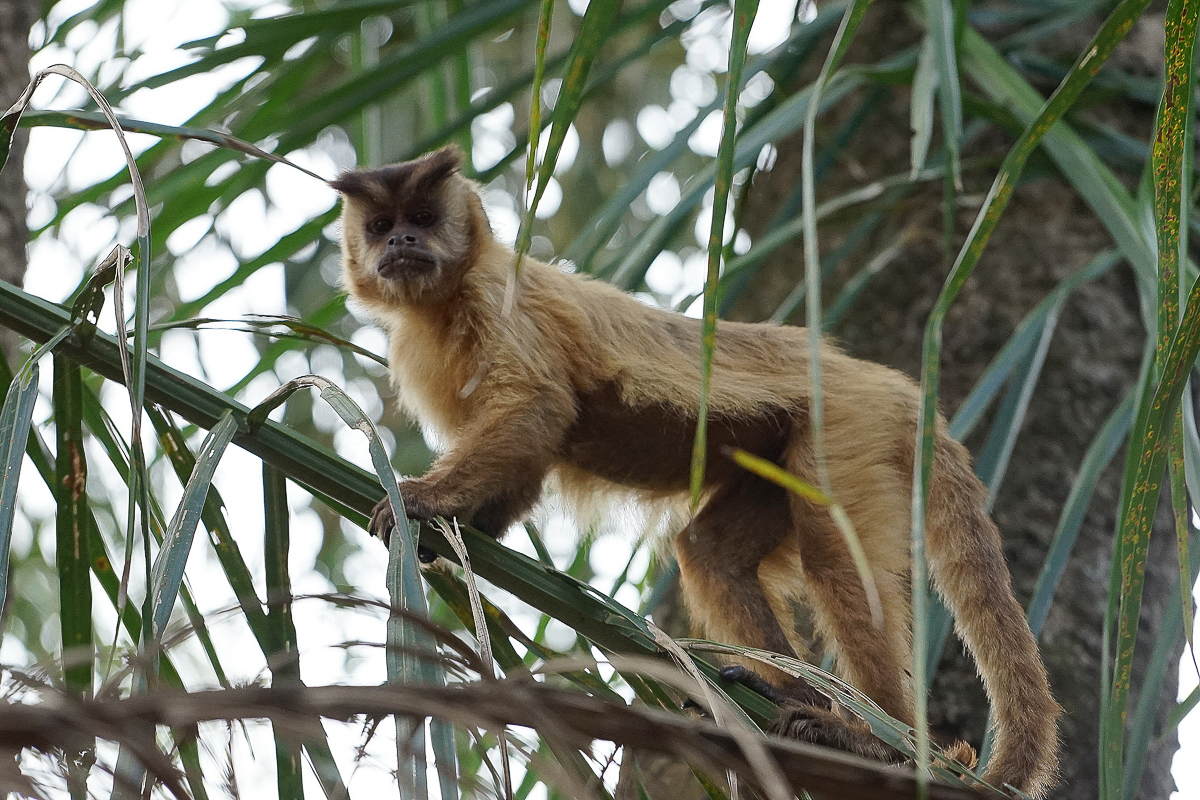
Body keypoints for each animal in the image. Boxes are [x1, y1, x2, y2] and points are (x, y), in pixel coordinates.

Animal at [330, 145, 1061, 798]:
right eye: (381, 225)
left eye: (424, 216)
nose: (401, 239)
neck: (443, 300)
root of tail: (890, 382)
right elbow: (530, 457)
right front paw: (457, 530)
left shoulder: (497, 300)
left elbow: (538, 410)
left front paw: (422, 502)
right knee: (708, 552)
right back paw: (784, 696)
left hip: (845, 417)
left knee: (832, 551)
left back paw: (878, 743)